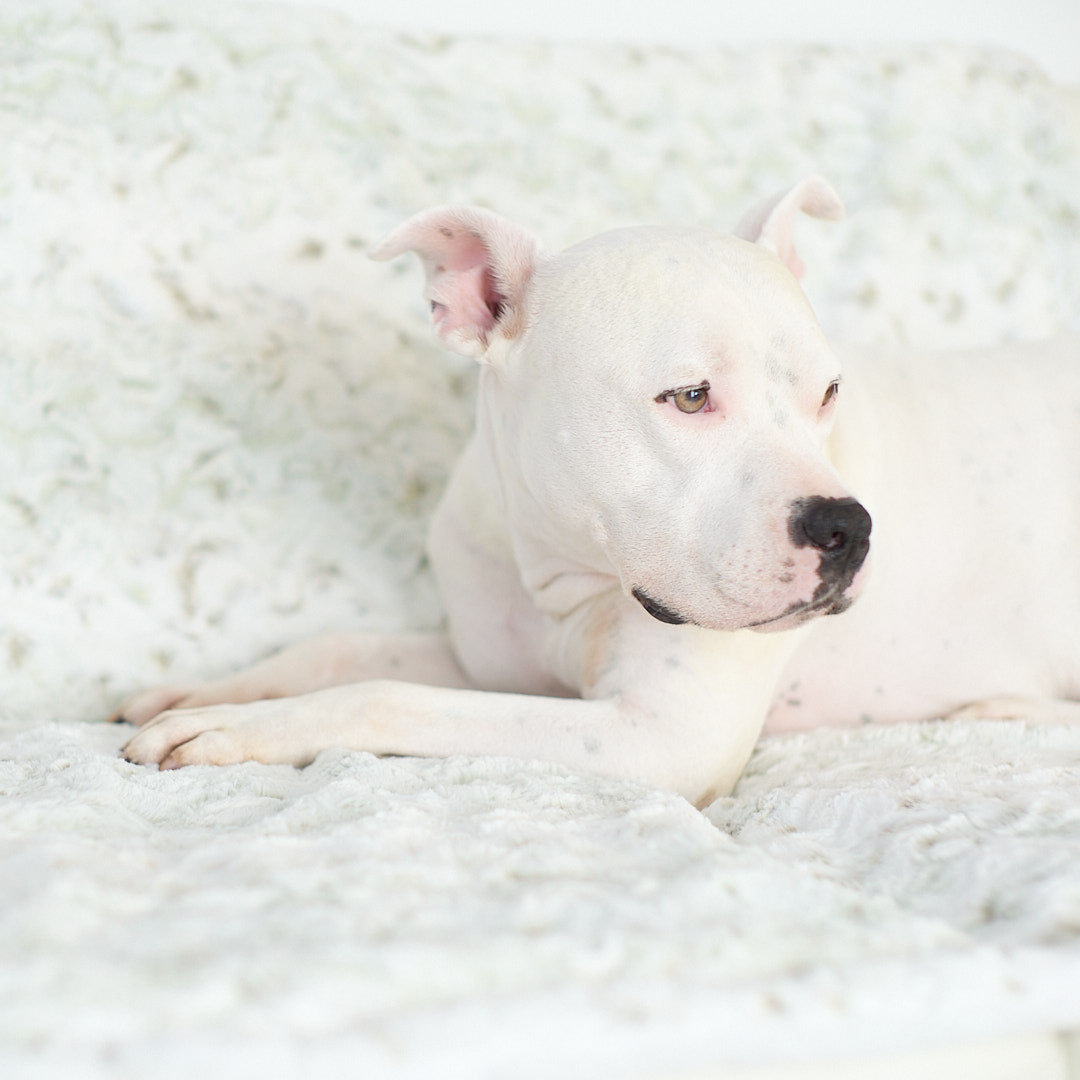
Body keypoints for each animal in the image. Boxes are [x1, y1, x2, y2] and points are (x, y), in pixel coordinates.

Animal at [118, 177, 1080, 807]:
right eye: (689, 396)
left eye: (828, 394)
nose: (847, 526)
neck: (566, 570)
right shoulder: (486, 660)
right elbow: (340, 649)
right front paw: (209, 693)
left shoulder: (657, 737)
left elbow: (387, 695)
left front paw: (241, 729)